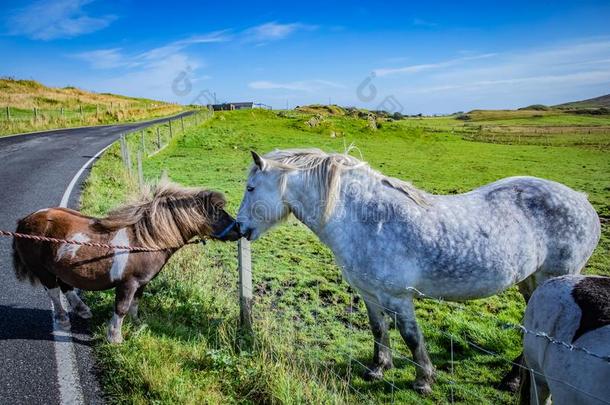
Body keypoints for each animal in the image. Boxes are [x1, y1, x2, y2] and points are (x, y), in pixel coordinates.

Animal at [11, 180, 240, 340]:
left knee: (66, 286)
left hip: (61, 267)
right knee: (54, 292)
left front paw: (138, 325)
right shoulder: (128, 284)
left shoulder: (141, 284)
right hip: (43, 271)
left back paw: (83, 310)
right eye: (218, 211)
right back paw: (63, 319)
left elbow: (135, 305)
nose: (240, 229)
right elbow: (121, 308)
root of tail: (24, 222)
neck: (146, 240)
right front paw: (115, 336)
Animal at [235, 148, 596, 392]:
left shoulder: (397, 297)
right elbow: (378, 329)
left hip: (552, 278)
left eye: (251, 188)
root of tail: (582, 201)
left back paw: (512, 380)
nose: (238, 228)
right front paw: (378, 369)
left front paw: (423, 379)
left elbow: (411, 336)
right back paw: (511, 379)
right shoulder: (369, 293)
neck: (364, 219)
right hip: (529, 281)